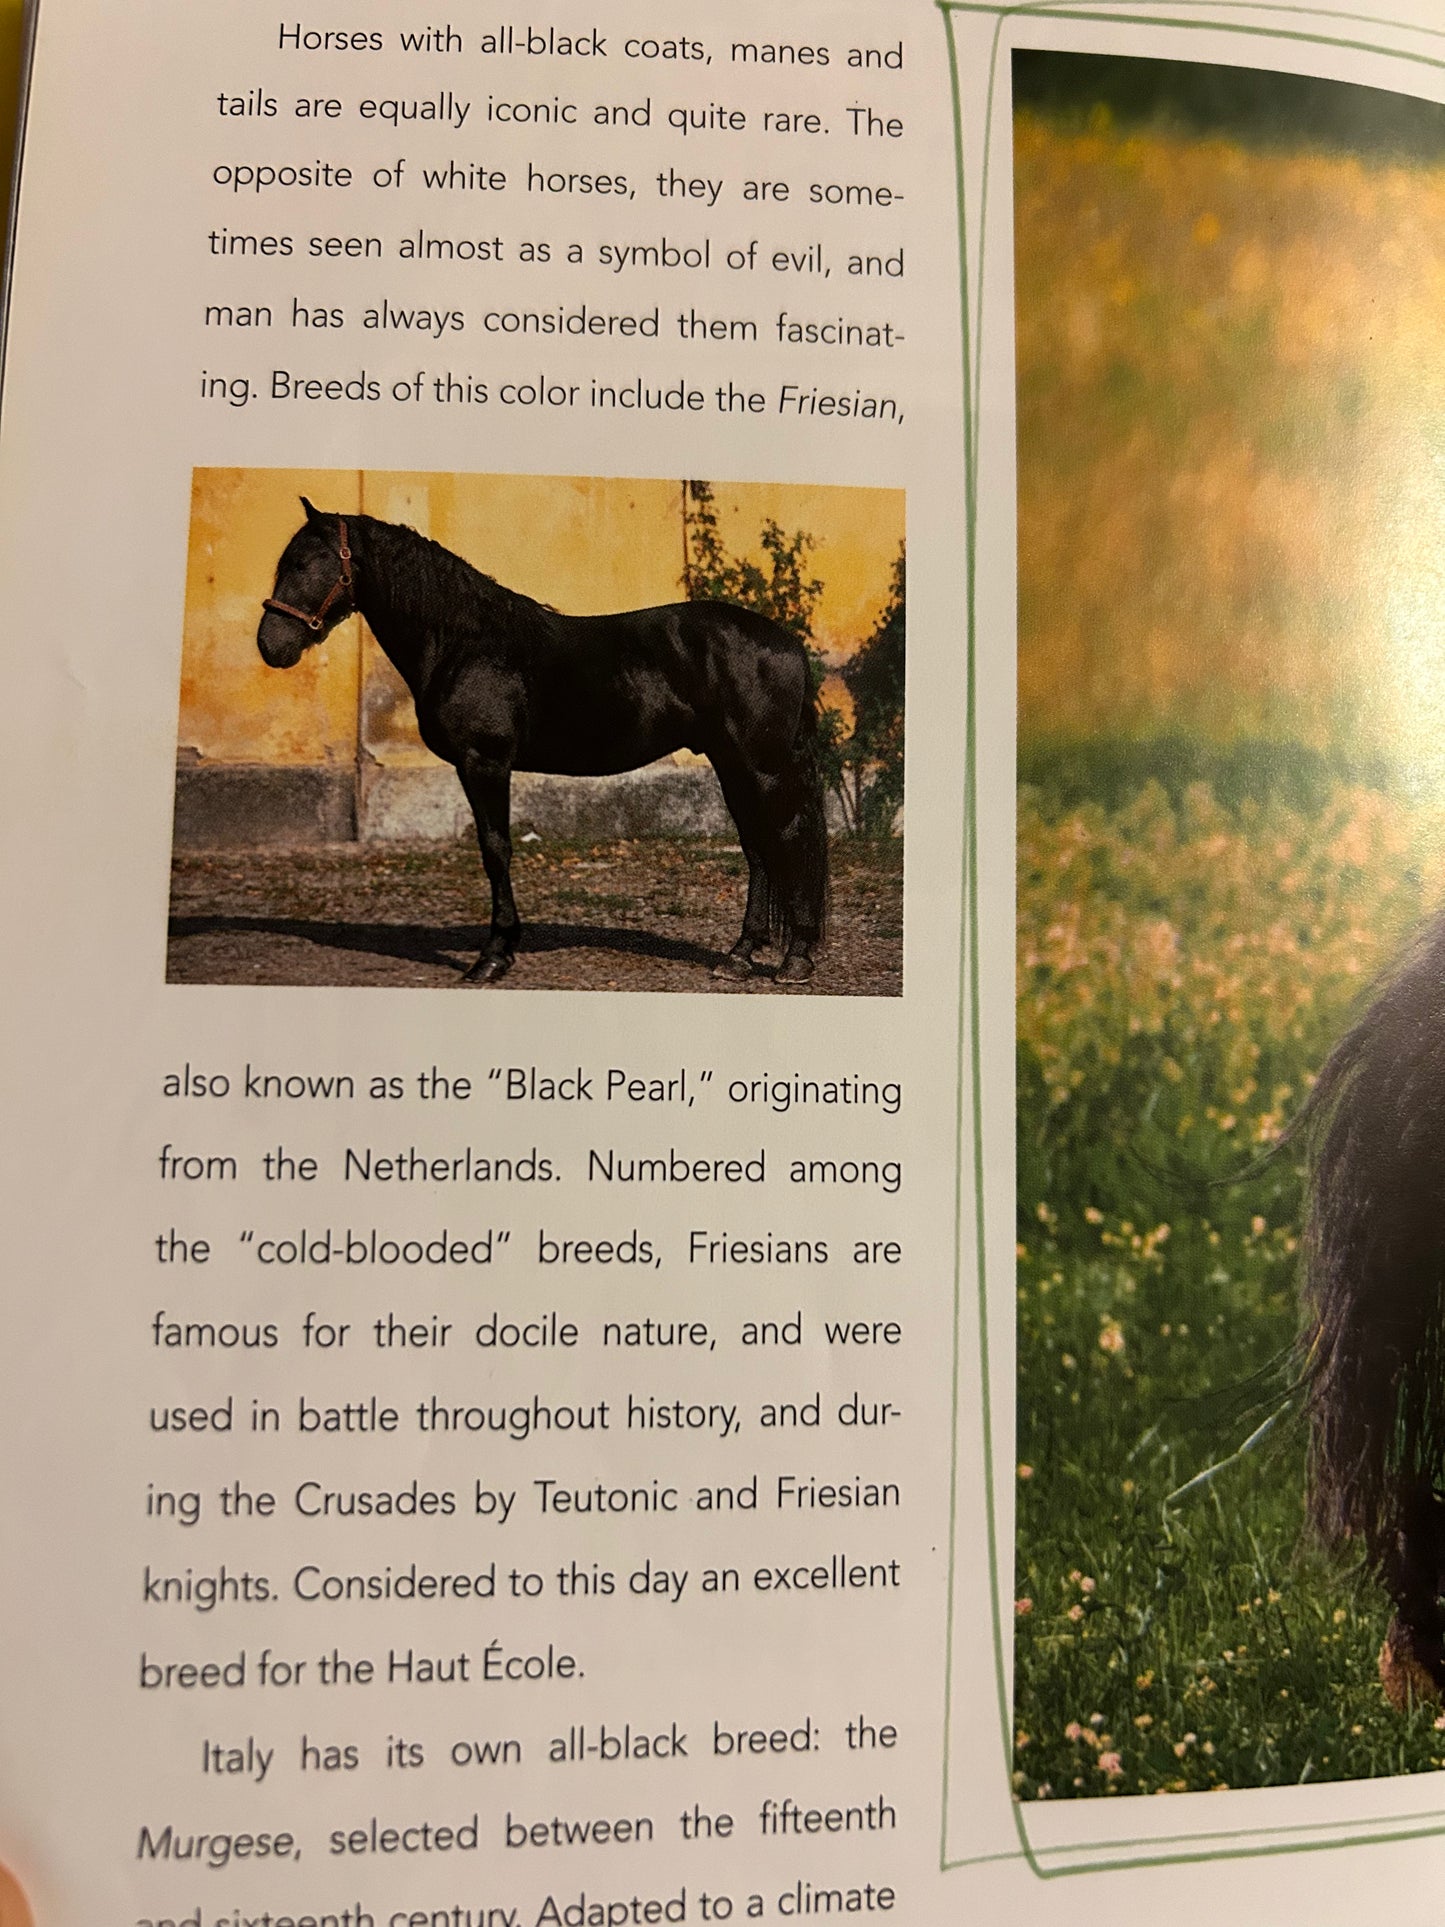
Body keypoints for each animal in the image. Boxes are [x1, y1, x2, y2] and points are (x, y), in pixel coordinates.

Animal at [255, 499, 829, 987]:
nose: (270, 645)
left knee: (786, 838)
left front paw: (493, 956)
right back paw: (739, 956)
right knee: (758, 847)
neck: (466, 642)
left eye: (305, 563)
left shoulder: (484, 762)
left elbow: (495, 849)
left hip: (760, 765)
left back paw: (795, 959)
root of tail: (788, 642)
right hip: (731, 763)